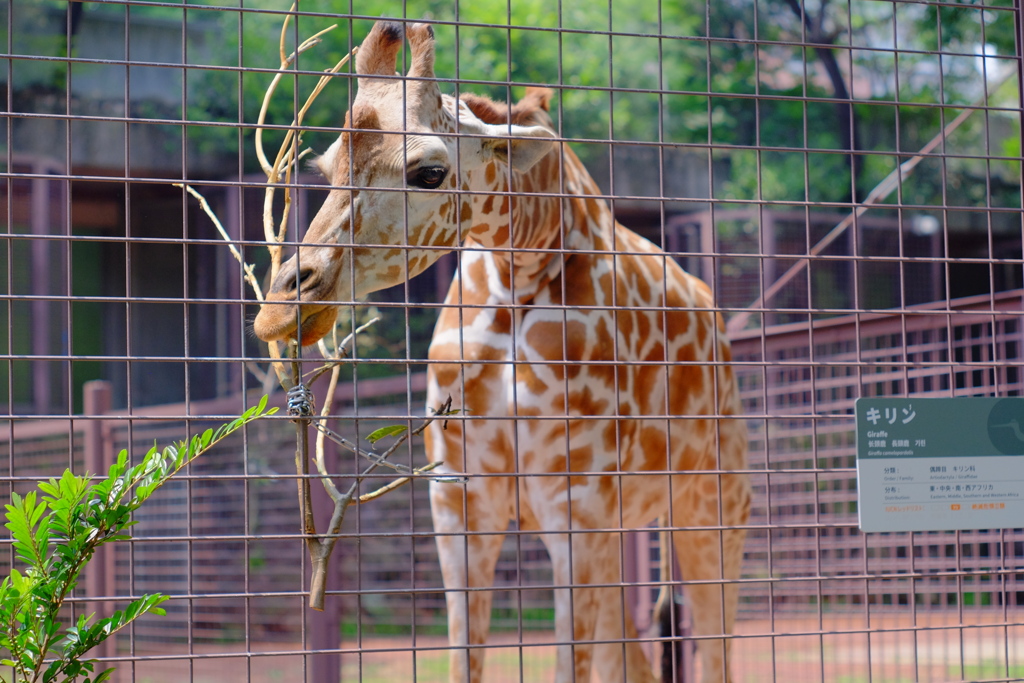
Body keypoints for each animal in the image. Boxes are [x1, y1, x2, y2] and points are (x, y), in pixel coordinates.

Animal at [253, 18, 753, 679]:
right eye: (327, 167)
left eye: (429, 172)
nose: (280, 307)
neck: (520, 267)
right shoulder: (461, 500)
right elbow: (467, 655)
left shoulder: (576, 500)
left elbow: (572, 661)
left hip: (712, 503)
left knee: (715, 641)